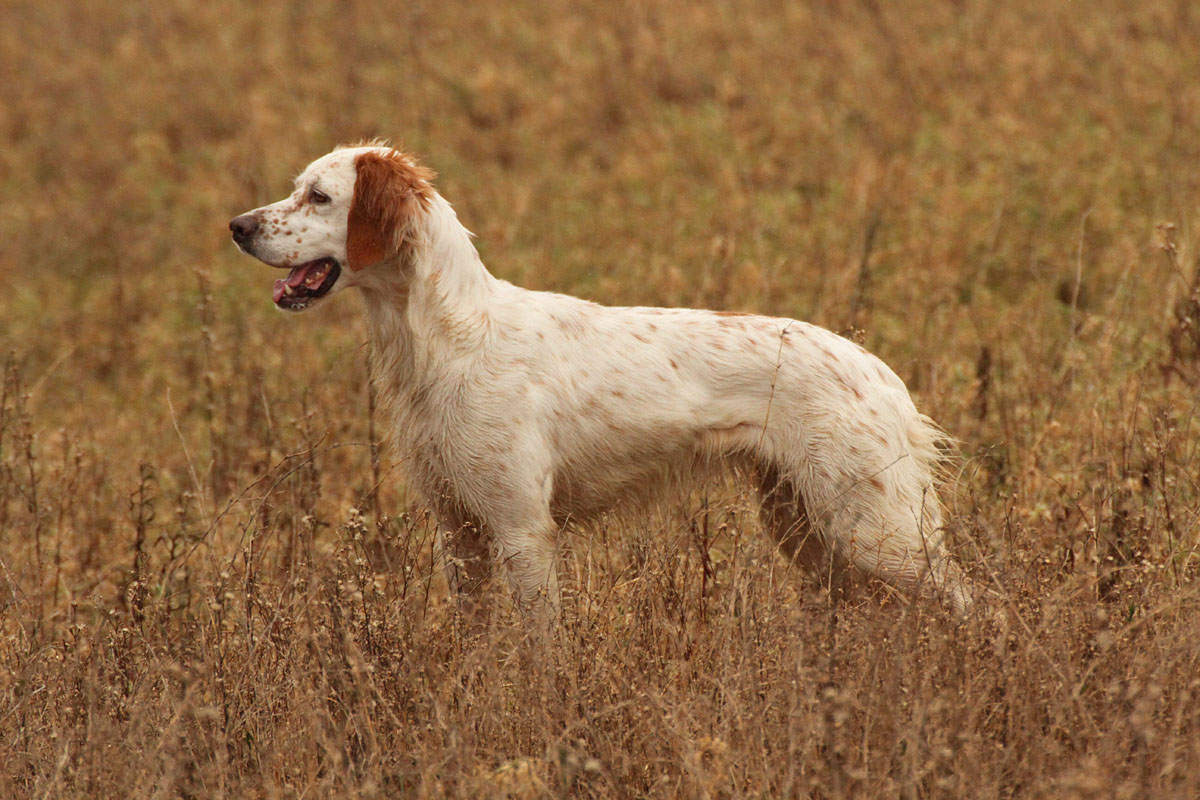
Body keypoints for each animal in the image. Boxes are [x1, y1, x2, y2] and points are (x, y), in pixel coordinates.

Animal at [226, 143, 974, 618]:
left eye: (319, 196)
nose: (236, 225)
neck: (447, 339)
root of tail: (881, 373)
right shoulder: (459, 532)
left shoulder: (522, 529)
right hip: (807, 527)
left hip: (879, 534)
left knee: (974, 606)